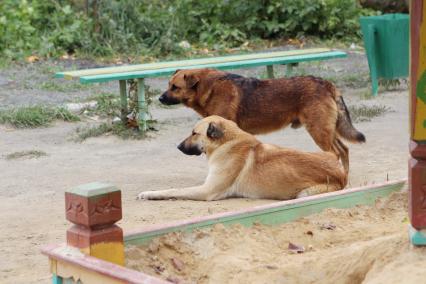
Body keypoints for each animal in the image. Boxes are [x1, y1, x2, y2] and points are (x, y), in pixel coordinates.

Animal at [138, 114, 348, 201]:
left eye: (194, 133)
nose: (178, 146)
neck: (227, 143)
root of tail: (342, 174)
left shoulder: (206, 191)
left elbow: (174, 190)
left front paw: (149, 193)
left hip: (303, 194)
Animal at [160, 68, 366, 173]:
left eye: (175, 87)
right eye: (168, 85)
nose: (160, 99)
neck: (209, 88)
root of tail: (326, 84)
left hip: (319, 131)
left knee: (336, 153)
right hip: (326, 131)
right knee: (344, 150)